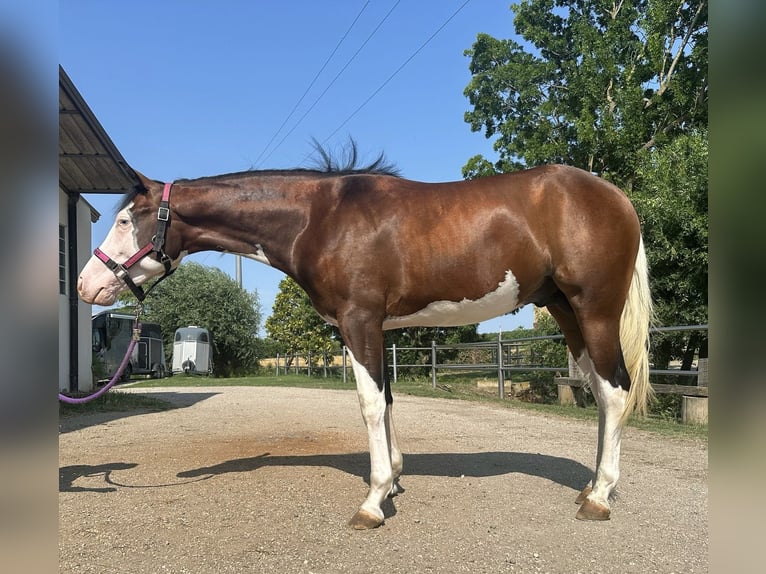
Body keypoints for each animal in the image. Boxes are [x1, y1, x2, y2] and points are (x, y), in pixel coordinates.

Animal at [77, 149, 652, 529]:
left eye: (125, 219)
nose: (87, 284)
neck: (320, 218)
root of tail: (618, 198)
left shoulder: (358, 322)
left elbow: (370, 405)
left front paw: (373, 502)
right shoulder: (375, 329)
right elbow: (389, 401)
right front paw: (394, 477)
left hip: (594, 310)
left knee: (615, 390)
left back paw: (600, 496)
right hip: (566, 311)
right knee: (600, 390)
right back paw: (592, 485)